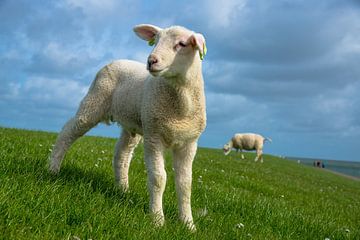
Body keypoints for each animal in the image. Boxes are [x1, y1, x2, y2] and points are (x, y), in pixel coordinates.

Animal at [48, 23, 207, 231]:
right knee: (69, 131)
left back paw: (123, 190)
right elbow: (158, 178)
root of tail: (119, 60)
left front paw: (188, 224)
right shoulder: (154, 136)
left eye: (182, 44)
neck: (181, 105)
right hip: (94, 101)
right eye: (155, 41)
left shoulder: (189, 143)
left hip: (133, 125)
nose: (151, 61)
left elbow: (185, 184)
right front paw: (157, 220)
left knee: (122, 154)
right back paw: (53, 168)